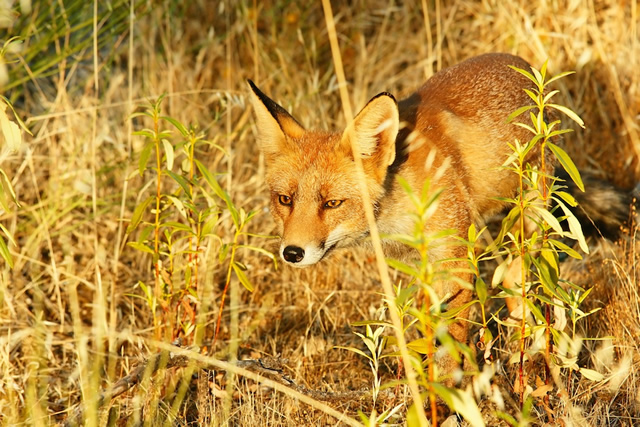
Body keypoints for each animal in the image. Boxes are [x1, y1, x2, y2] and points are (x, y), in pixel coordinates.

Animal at [248, 54, 552, 382]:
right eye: (285, 200)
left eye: (332, 203)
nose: (292, 253)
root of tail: (517, 61)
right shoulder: (418, 265)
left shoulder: (454, 259)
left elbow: (451, 339)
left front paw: (451, 390)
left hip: (533, 218)